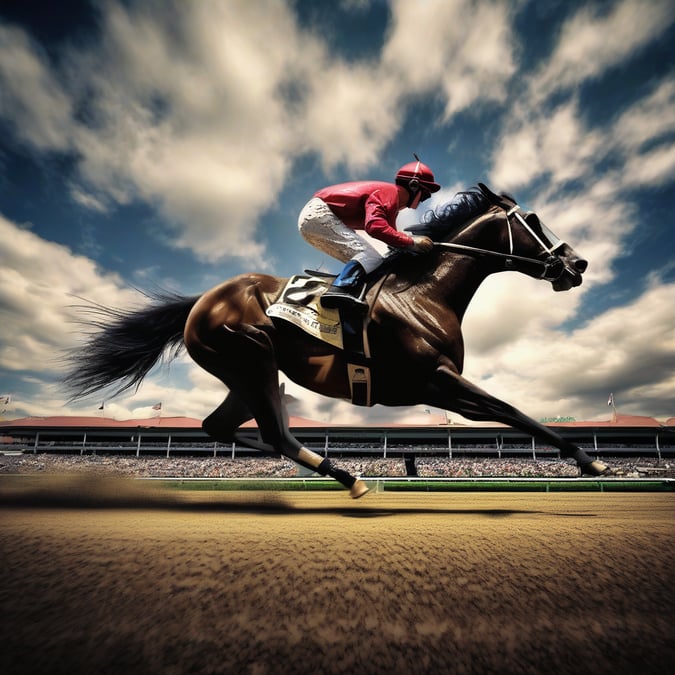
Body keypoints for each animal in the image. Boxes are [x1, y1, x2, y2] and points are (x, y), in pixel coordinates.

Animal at [64, 183, 611, 498]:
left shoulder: (440, 386)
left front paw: (590, 458)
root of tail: (203, 301)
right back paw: (349, 477)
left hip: (246, 370)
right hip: (253, 357)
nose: (577, 263)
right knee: (275, 432)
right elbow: (513, 411)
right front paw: (591, 459)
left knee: (226, 427)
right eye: (533, 222)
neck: (422, 295)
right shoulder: (434, 380)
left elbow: (510, 413)